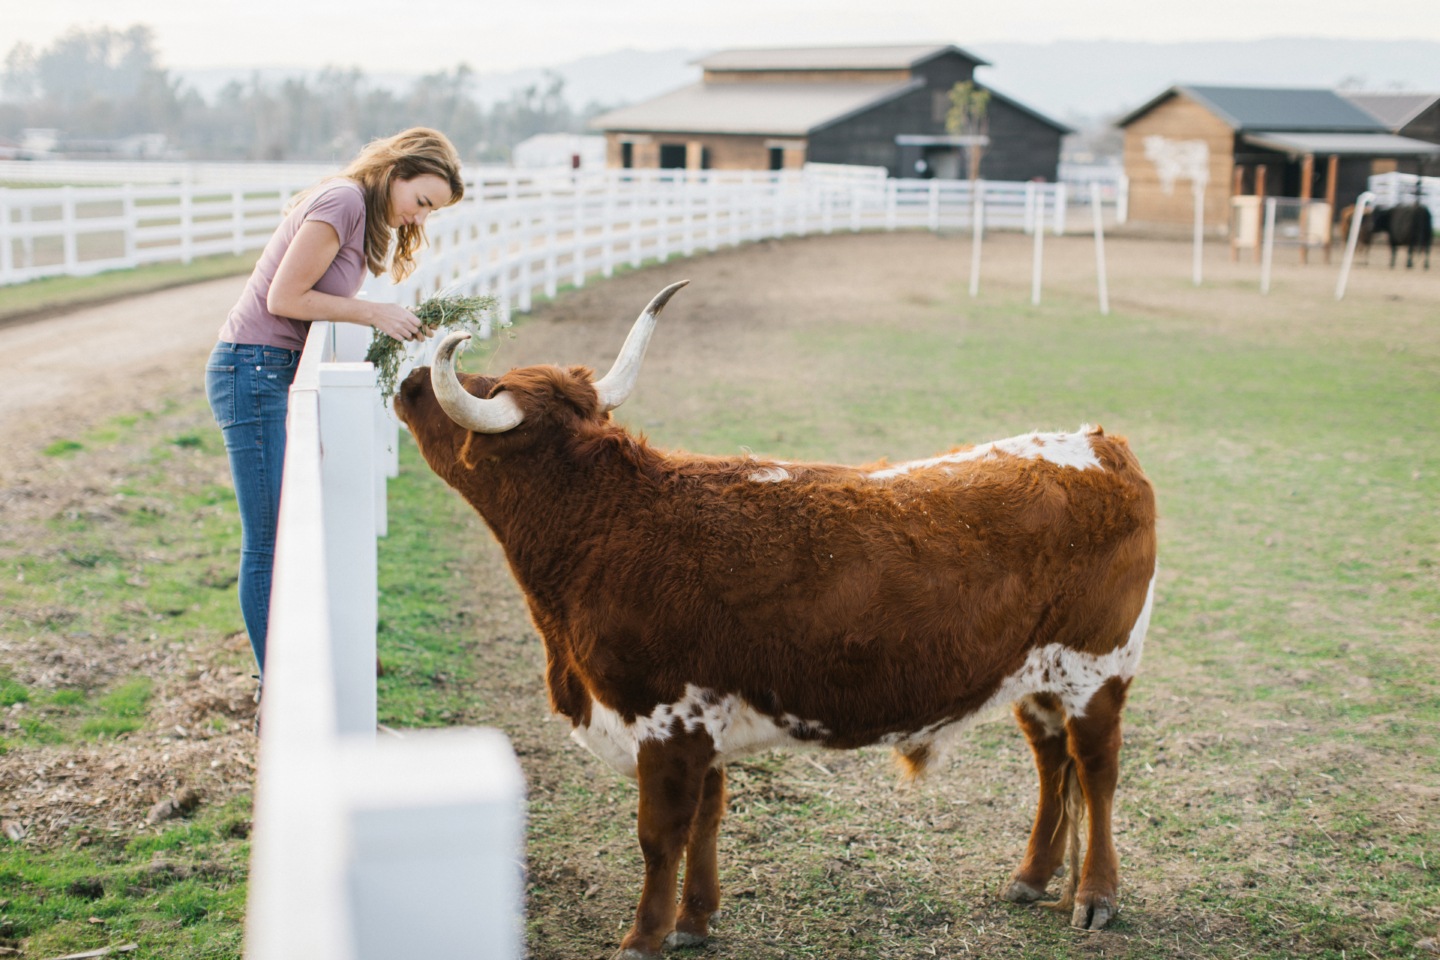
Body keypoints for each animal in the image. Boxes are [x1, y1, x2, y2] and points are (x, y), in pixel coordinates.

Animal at [394, 279, 1157, 960]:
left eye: (482, 388)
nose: (408, 380)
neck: (609, 520)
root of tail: (1101, 446)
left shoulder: (665, 723)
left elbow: (659, 836)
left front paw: (642, 938)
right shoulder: (702, 723)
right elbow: (707, 819)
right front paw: (693, 922)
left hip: (1097, 670)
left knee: (1096, 770)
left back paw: (1095, 897)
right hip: (1037, 676)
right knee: (1052, 761)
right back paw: (1032, 879)